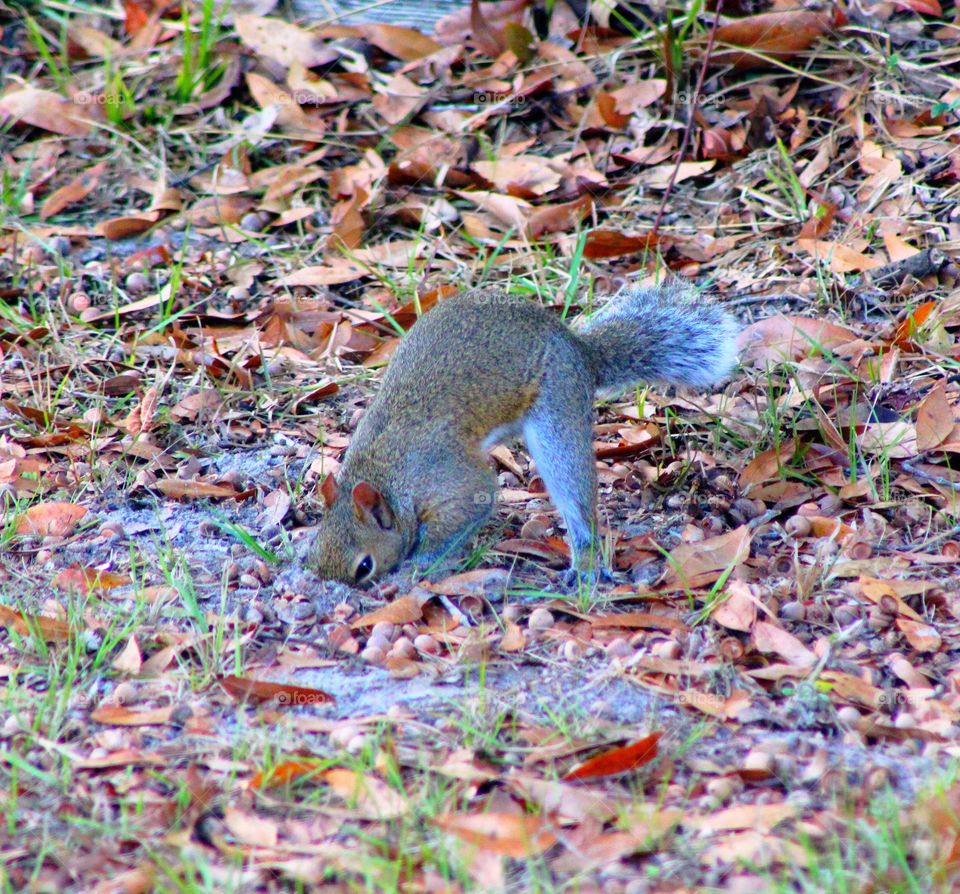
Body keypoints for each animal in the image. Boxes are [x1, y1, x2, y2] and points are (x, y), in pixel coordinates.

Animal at [312, 282, 740, 588]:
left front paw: (415, 565)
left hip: (557, 412)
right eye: (319, 549)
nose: (339, 591)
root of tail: (581, 352)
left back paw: (585, 562)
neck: (383, 468)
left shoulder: (447, 476)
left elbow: (470, 502)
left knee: (574, 492)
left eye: (364, 565)